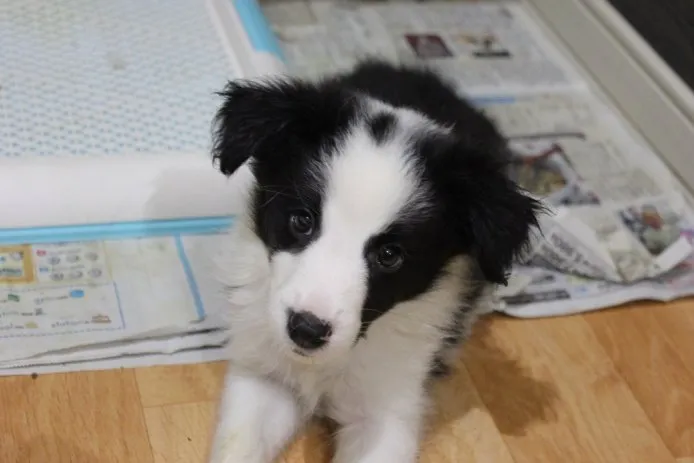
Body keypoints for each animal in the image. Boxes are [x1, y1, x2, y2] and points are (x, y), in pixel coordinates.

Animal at [207, 61, 544, 463]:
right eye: (302, 221)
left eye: (389, 255)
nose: (306, 330)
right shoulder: (264, 374)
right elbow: (238, 444)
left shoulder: (386, 411)